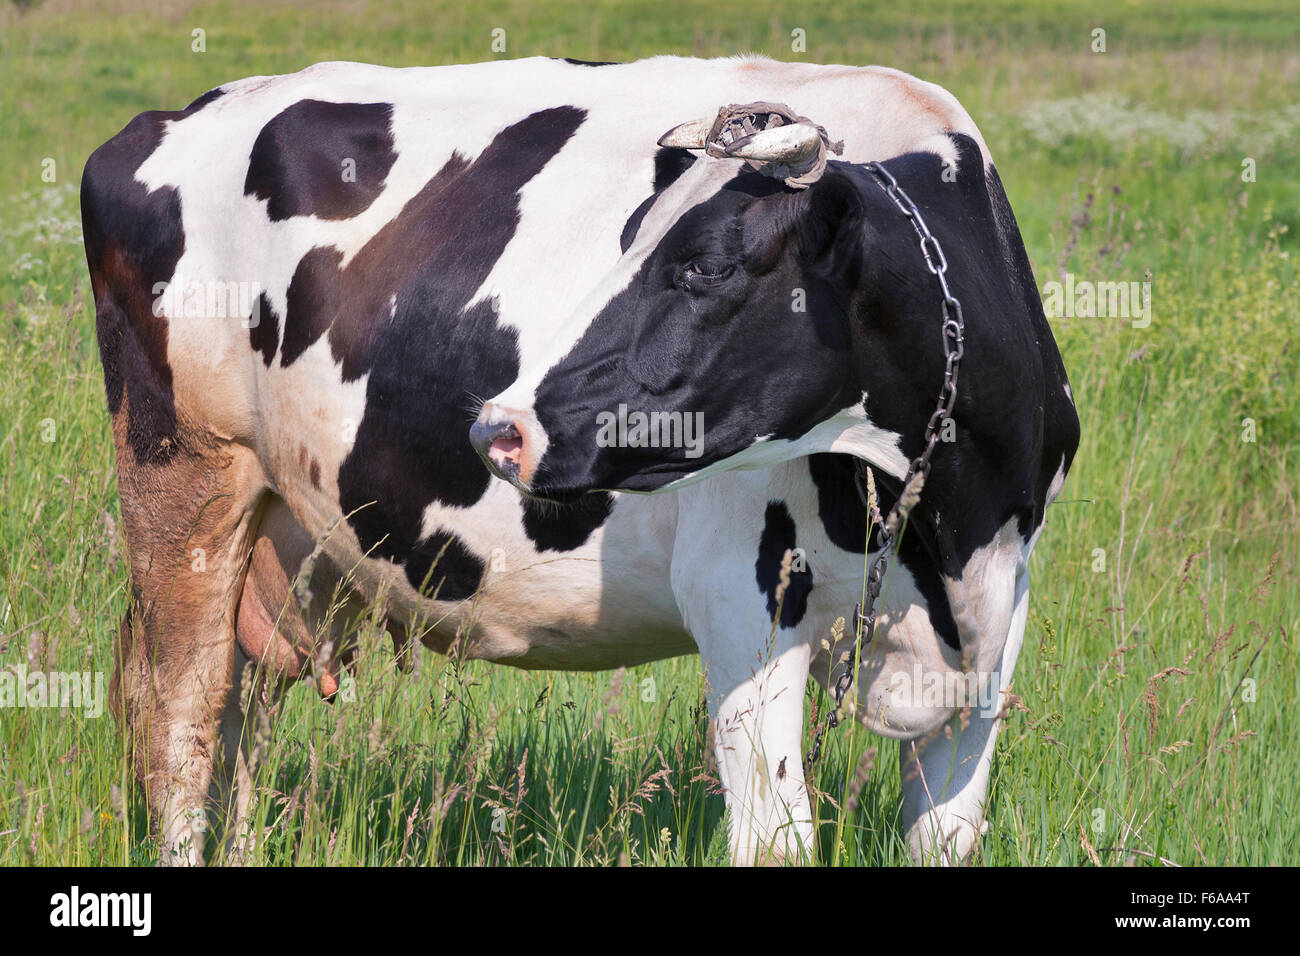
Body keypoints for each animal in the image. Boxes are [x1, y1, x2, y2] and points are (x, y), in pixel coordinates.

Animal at [81, 54, 1078, 866]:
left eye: (706, 265)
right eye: (628, 237)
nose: (499, 429)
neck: (945, 528)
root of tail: (179, 114)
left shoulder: (998, 622)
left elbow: (946, 836)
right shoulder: (739, 599)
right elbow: (775, 839)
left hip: (285, 538)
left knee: (241, 725)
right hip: (184, 479)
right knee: (183, 722)